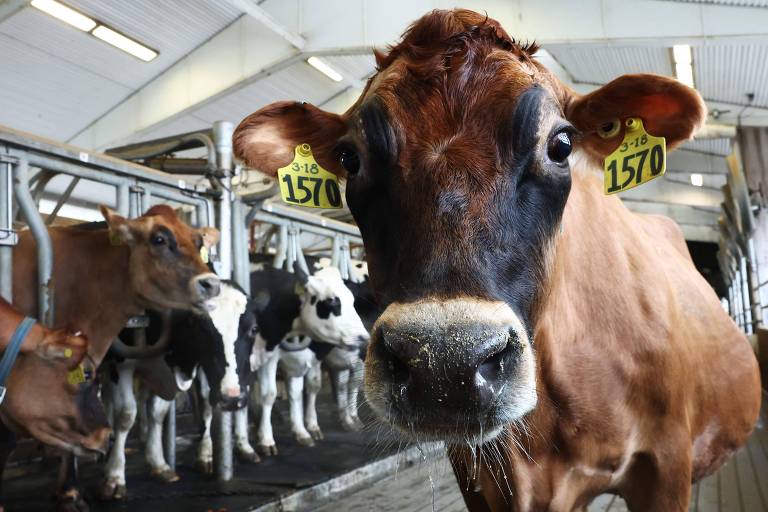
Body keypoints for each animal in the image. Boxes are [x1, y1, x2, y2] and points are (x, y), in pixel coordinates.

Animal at [102, 280, 260, 500]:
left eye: (254, 328)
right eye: (202, 328)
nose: (232, 398)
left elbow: (162, 412)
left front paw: (160, 463)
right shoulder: (121, 362)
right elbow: (126, 415)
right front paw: (115, 476)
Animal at [249, 262, 368, 454]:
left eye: (352, 301)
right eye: (332, 301)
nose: (364, 339)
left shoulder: (308, 358)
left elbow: (305, 389)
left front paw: (304, 430)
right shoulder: (268, 358)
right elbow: (269, 394)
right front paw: (266, 439)